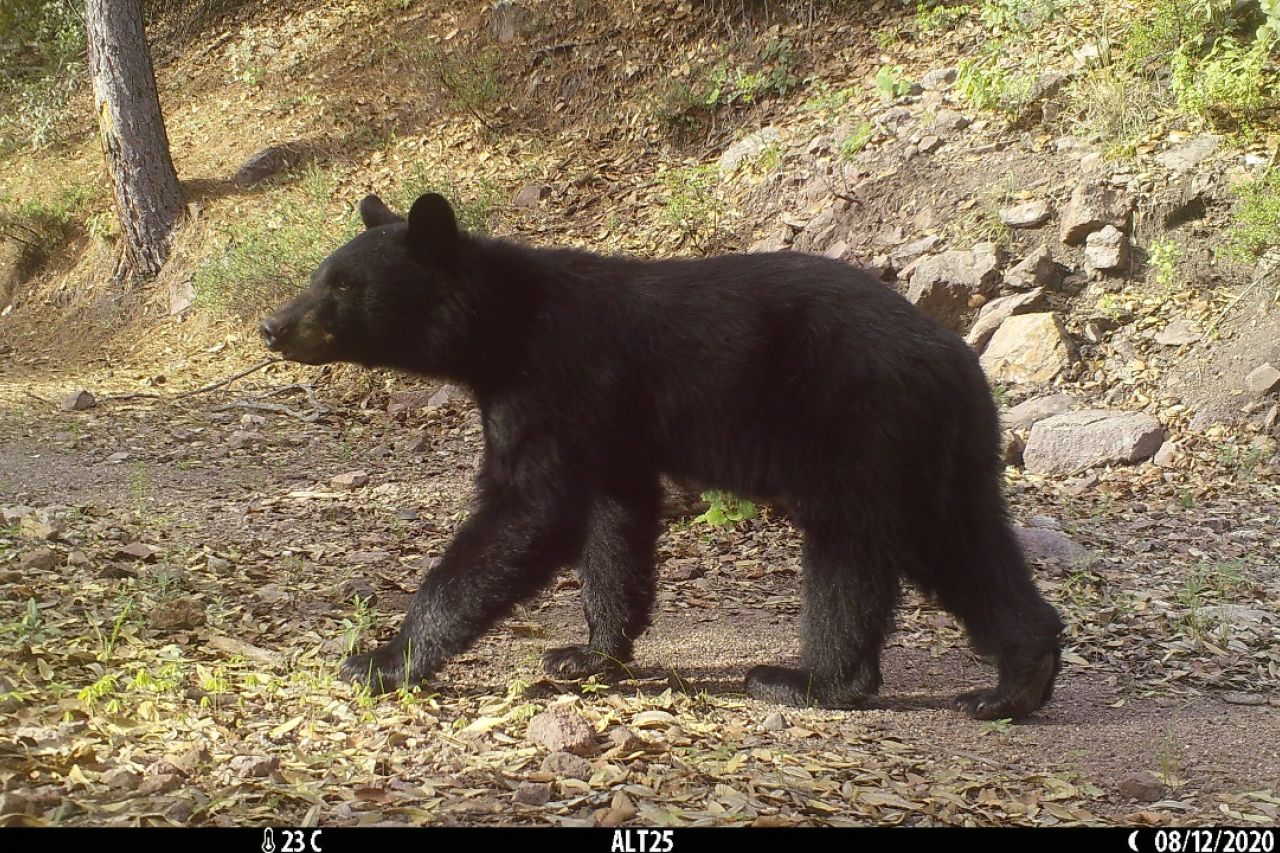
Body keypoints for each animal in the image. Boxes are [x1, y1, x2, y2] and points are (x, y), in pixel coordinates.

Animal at [257, 189, 1059, 712]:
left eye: (340, 287)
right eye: (318, 276)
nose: (272, 325)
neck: (499, 328)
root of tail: (954, 354)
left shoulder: (554, 380)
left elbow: (528, 513)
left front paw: (381, 660)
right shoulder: (610, 427)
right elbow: (616, 521)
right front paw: (589, 652)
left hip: (859, 425)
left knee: (851, 549)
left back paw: (808, 682)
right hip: (942, 450)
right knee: (964, 543)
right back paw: (1018, 679)